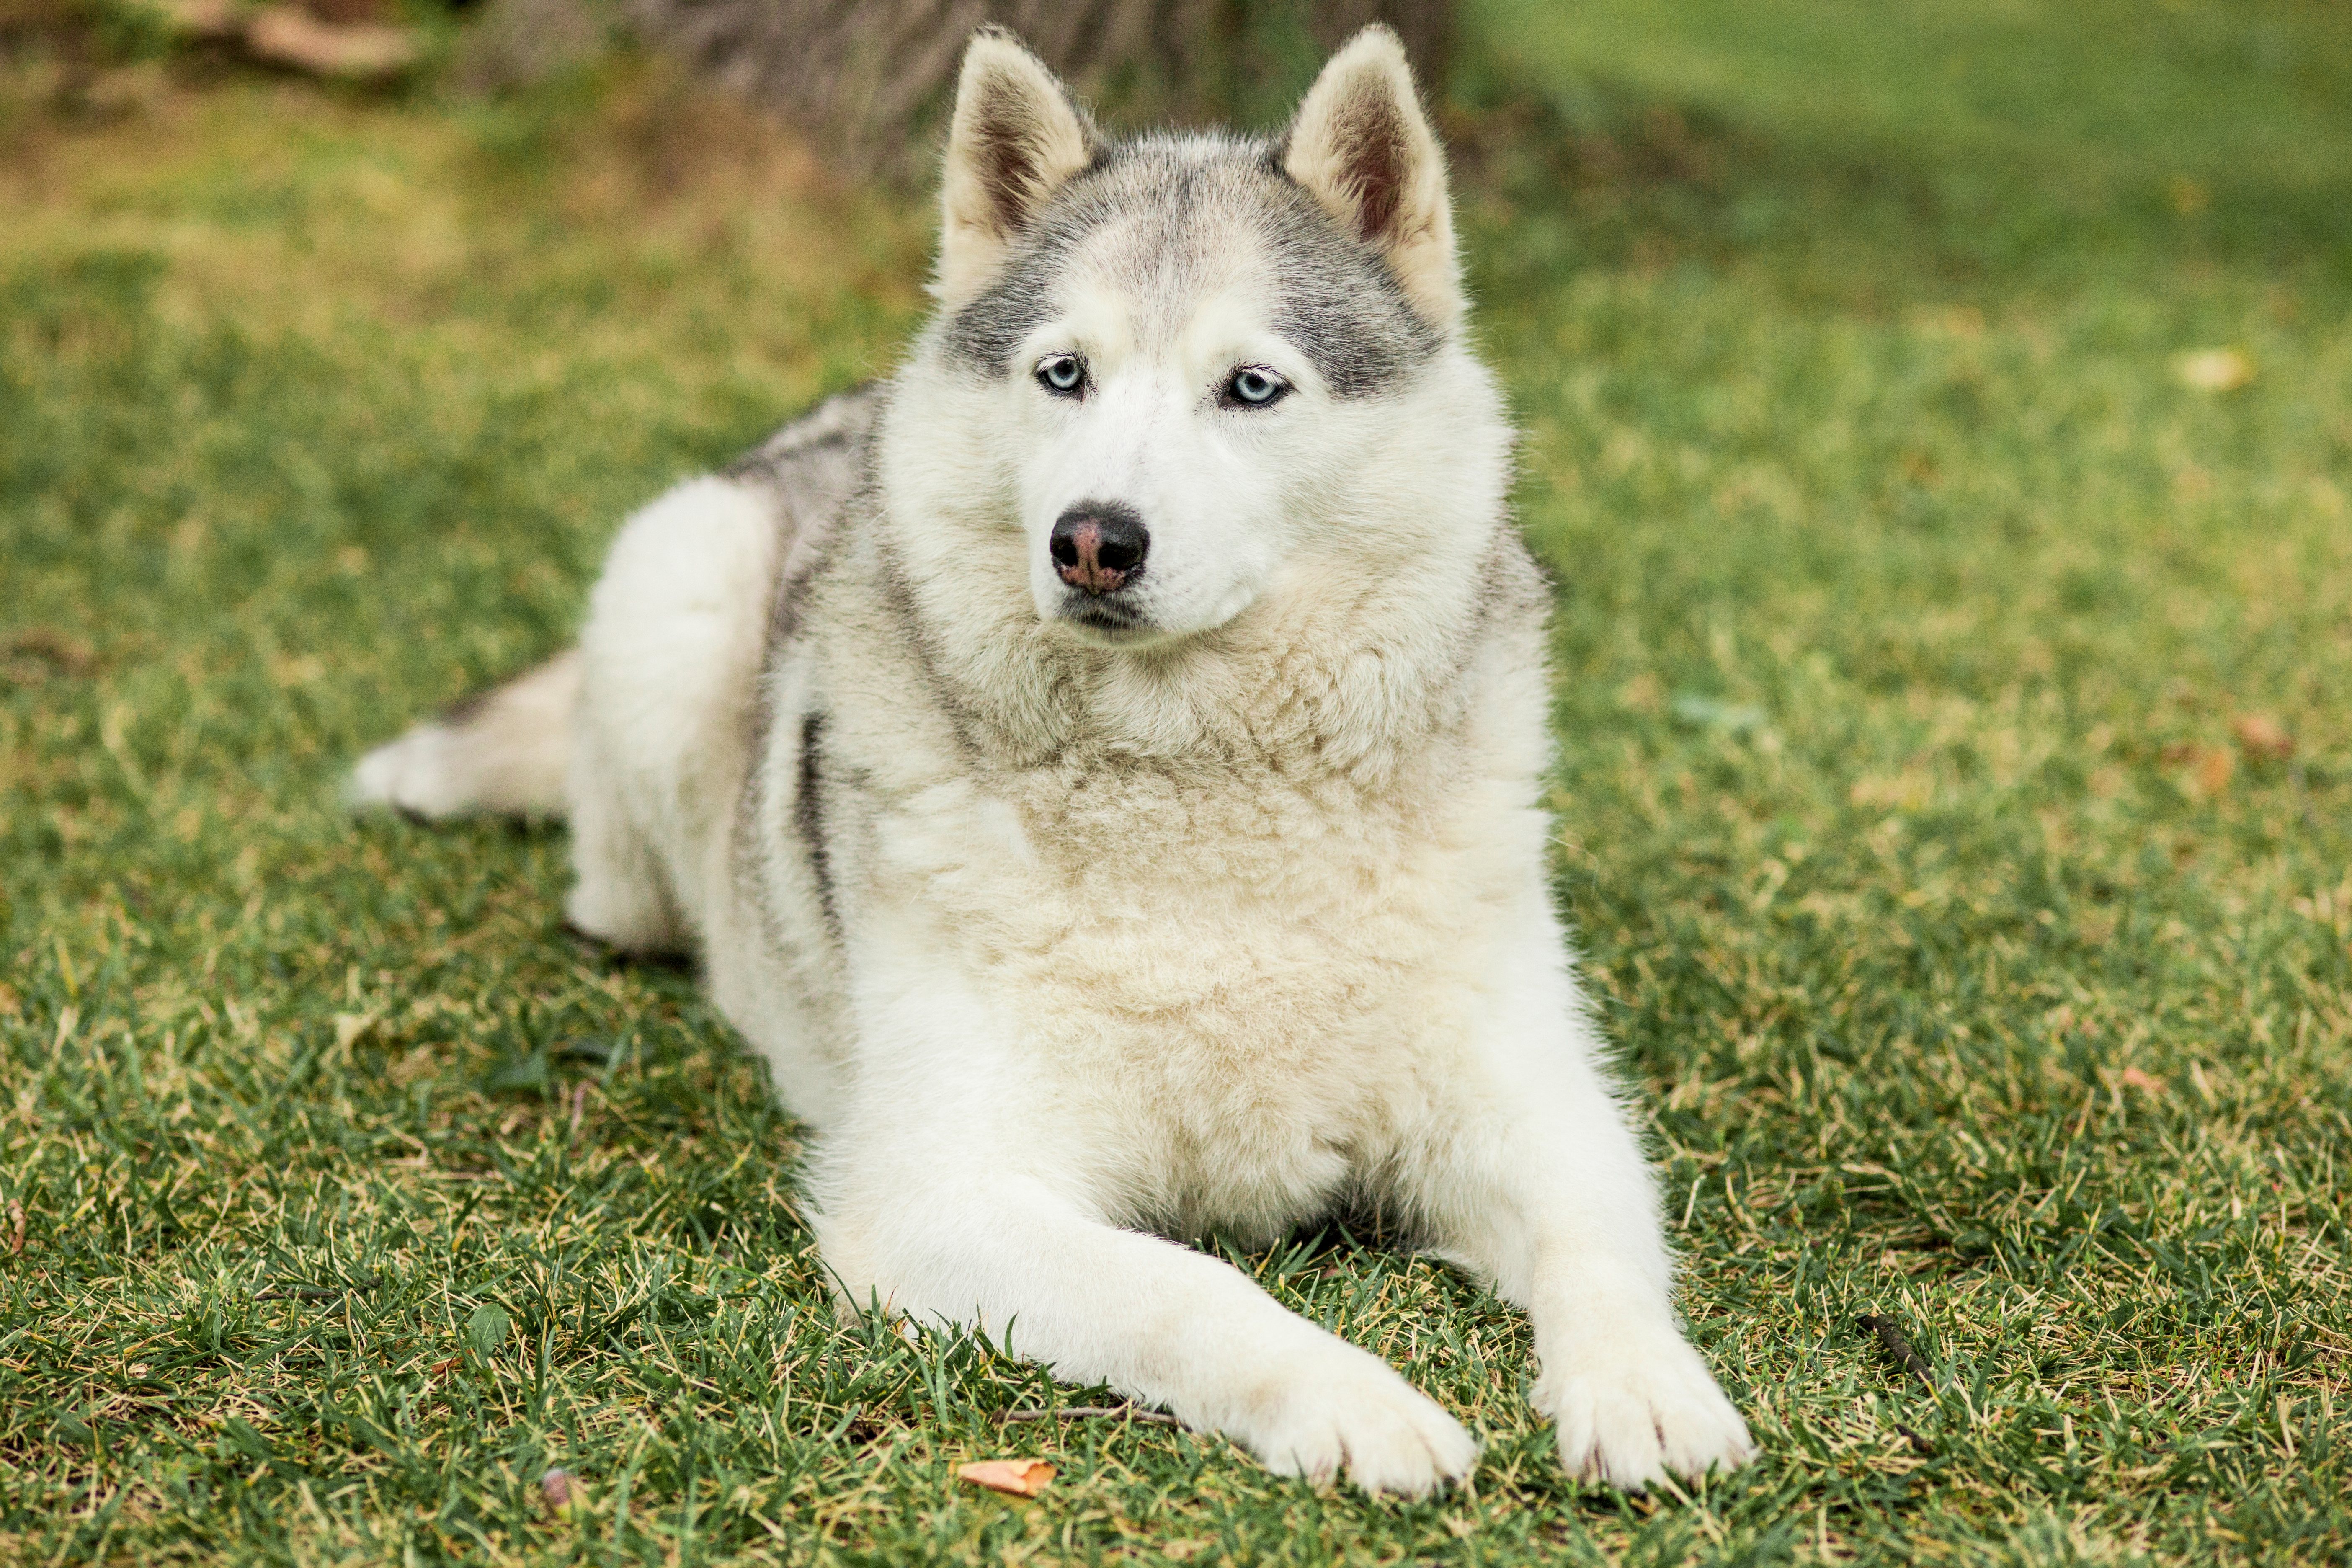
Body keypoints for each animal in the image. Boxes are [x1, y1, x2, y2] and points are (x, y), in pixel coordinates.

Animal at [357, 24, 1759, 1495]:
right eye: (1063, 374)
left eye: (1252, 387)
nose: (1093, 540)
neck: (1201, 794)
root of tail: (838, 416)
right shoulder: (945, 1193)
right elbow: (1194, 1290)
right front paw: (1355, 1402)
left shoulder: (1543, 1109)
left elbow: (1597, 1248)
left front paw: (1645, 1391)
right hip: (676, 596)